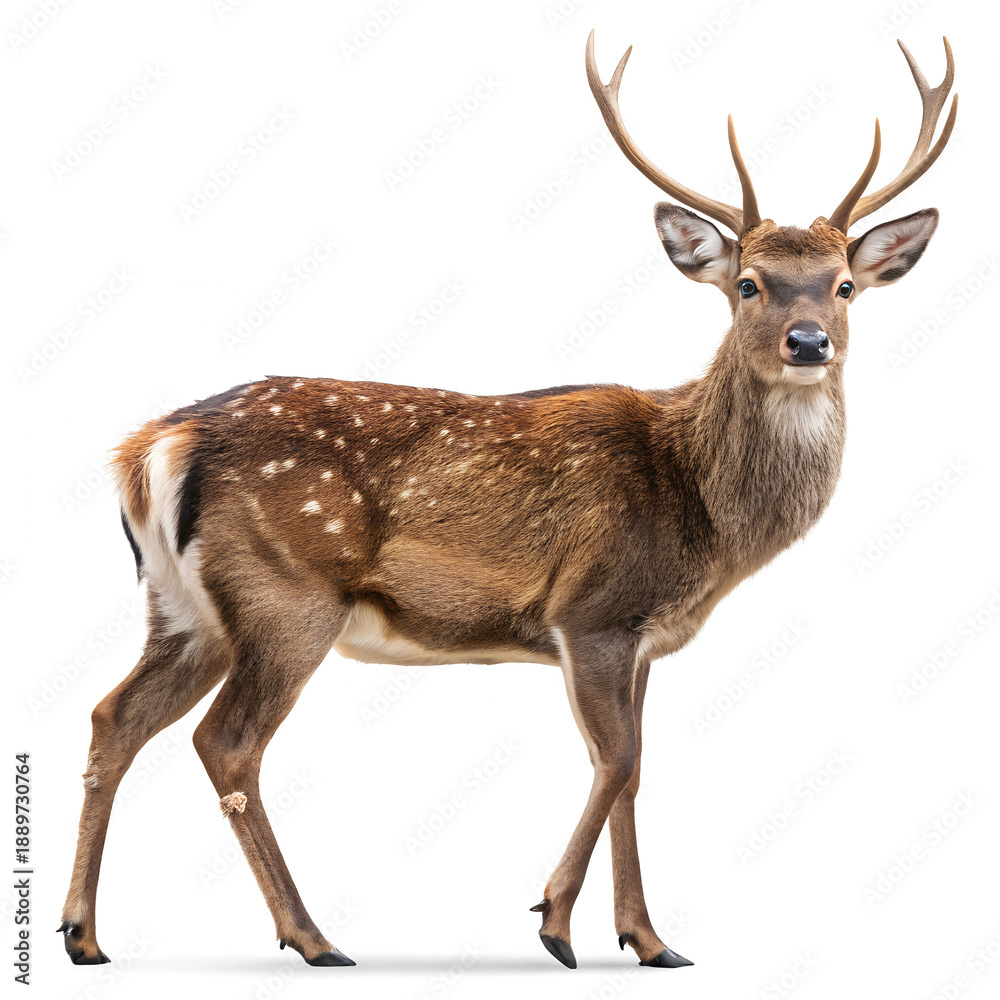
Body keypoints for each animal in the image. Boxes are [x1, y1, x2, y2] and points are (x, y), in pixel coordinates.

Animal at [60, 29, 957, 971]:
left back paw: (84, 934)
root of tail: (152, 447)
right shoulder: (592, 610)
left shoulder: (641, 637)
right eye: (748, 283)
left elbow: (639, 769)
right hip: (285, 592)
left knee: (113, 716)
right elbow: (617, 762)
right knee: (225, 744)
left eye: (844, 284)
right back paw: (311, 936)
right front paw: (556, 923)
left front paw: (649, 940)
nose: (809, 342)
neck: (702, 516)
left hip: (183, 607)